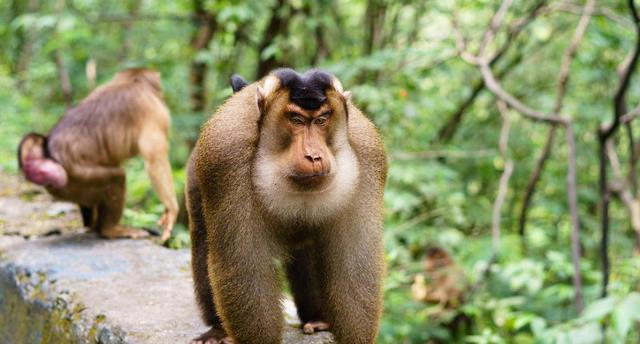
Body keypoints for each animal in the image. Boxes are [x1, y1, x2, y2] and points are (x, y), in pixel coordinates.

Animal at [18, 68, 178, 241]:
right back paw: (110, 229)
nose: (161, 93)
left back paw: (93, 226)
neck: (132, 82)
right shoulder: (155, 110)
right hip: (75, 181)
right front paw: (171, 209)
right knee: (116, 178)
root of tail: (48, 151)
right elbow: (154, 158)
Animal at [185, 68, 384, 344]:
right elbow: (245, 267)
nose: (314, 156)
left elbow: (354, 266)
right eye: (296, 119)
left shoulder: (367, 155)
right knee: (204, 240)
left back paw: (317, 318)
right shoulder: (225, 158)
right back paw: (217, 329)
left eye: (322, 119)